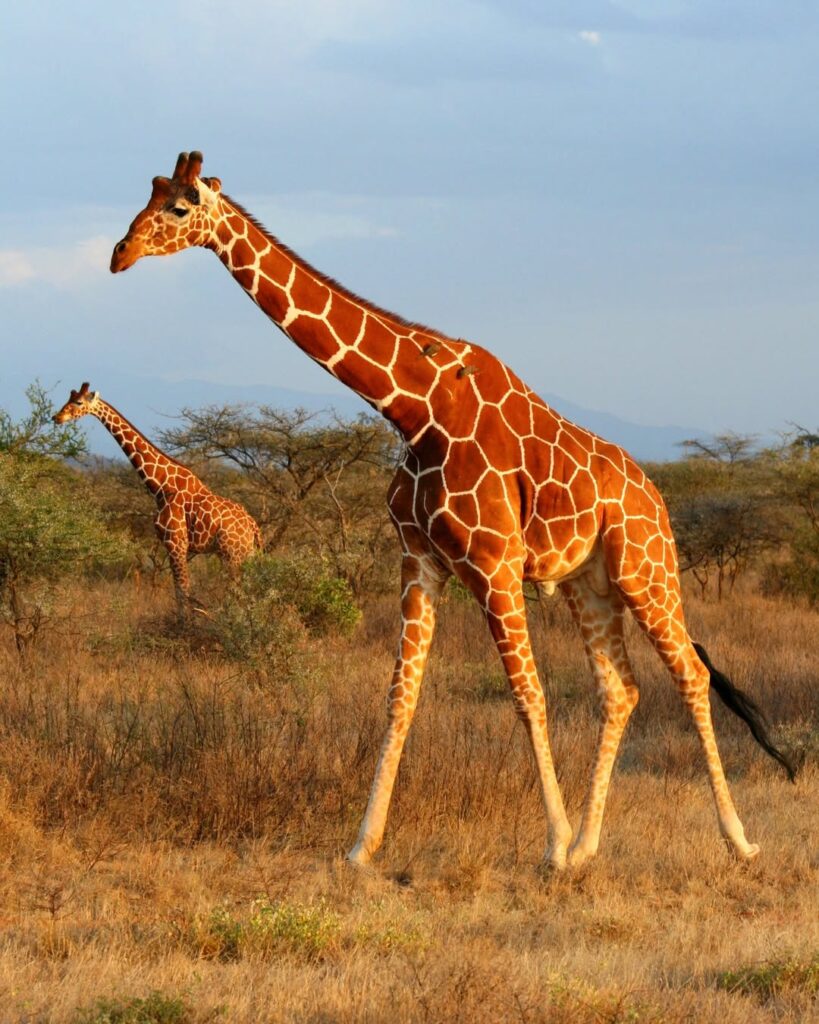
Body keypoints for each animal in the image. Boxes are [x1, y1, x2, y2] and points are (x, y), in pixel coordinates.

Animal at [53, 382, 262, 617]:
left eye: (79, 402)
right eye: (68, 399)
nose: (56, 417)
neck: (161, 486)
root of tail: (253, 527)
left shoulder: (176, 543)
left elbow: (182, 591)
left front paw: (184, 624)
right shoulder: (173, 545)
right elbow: (181, 590)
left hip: (232, 555)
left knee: (239, 593)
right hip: (245, 555)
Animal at [109, 151, 795, 869]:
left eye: (178, 208)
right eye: (146, 196)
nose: (118, 254)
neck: (417, 410)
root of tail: (654, 495)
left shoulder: (494, 564)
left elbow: (528, 695)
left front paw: (550, 845)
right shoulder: (419, 560)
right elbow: (400, 697)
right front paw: (362, 847)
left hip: (646, 569)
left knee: (690, 673)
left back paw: (736, 839)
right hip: (590, 584)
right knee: (621, 689)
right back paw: (589, 846)